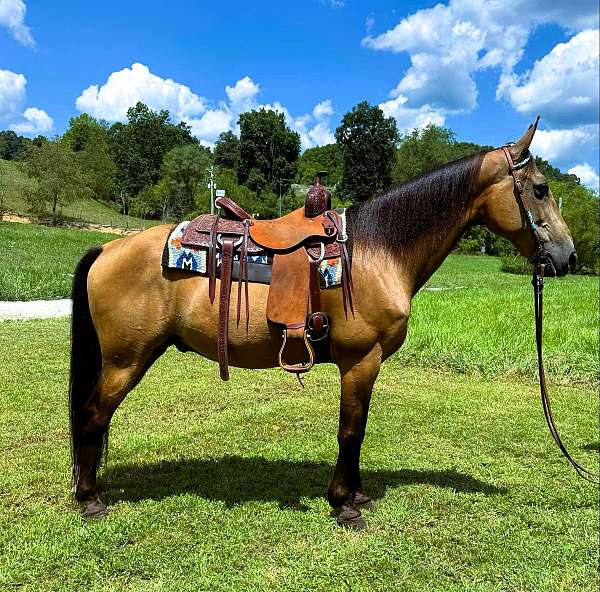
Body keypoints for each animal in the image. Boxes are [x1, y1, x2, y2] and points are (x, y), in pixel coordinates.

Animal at [70, 120, 580, 528]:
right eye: (539, 189)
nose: (569, 257)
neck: (379, 250)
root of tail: (108, 248)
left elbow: (359, 429)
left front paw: (358, 495)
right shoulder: (360, 361)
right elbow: (351, 430)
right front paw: (344, 505)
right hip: (125, 360)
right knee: (93, 415)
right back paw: (91, 500)